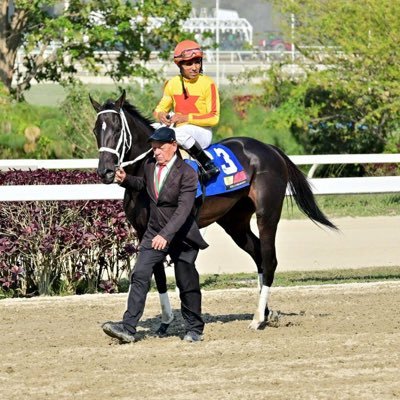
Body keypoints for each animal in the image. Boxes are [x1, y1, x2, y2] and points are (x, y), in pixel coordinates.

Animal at [89, 90, 336, 332]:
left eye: (117, 129)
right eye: (96, 129)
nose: (106, 171)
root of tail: (270, 149)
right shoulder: (144, 231)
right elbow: (156, 274)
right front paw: (165, 320)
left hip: (267, 214)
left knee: (269, 259)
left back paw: (257, 319)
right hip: (235, 222)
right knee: (258, 255)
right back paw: (265, 312)